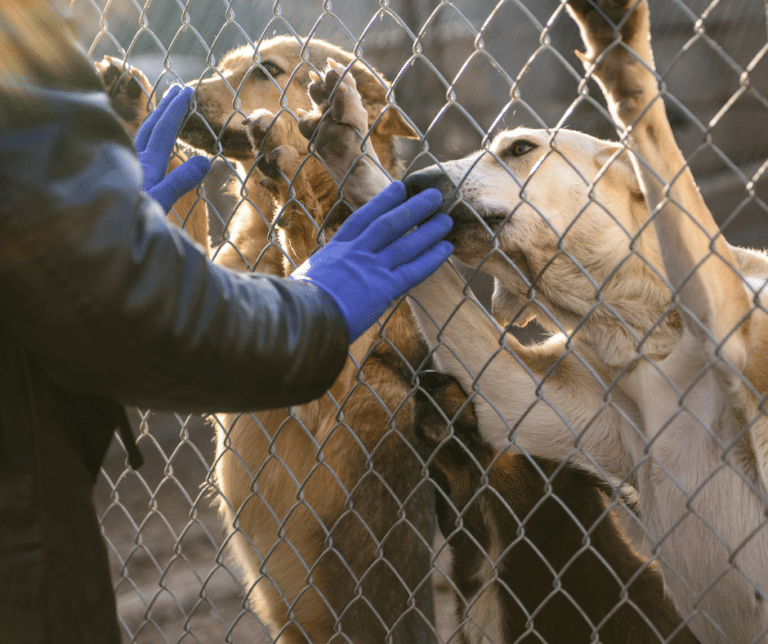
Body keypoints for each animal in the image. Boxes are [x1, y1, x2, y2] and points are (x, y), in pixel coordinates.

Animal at [182, 39, 448, 644]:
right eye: (223, 67)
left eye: (266, 71)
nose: (179, 93)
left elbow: (307, 232)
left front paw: (290, 180)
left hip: (378, 398)